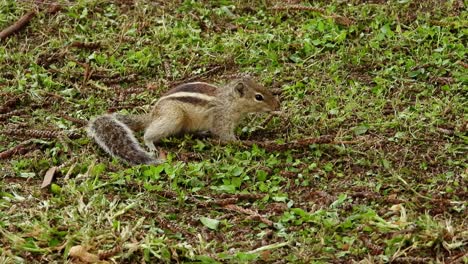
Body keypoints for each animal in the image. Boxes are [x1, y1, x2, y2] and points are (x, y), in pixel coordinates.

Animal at [86, 76, 280, 165]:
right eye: (258, 97)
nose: (278, 105)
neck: (229, 101)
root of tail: (153, 114)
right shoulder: (222, 119)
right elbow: (225, 136)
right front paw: (243, 142)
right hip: (173, 117)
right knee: (148, 133)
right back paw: (151, 145)